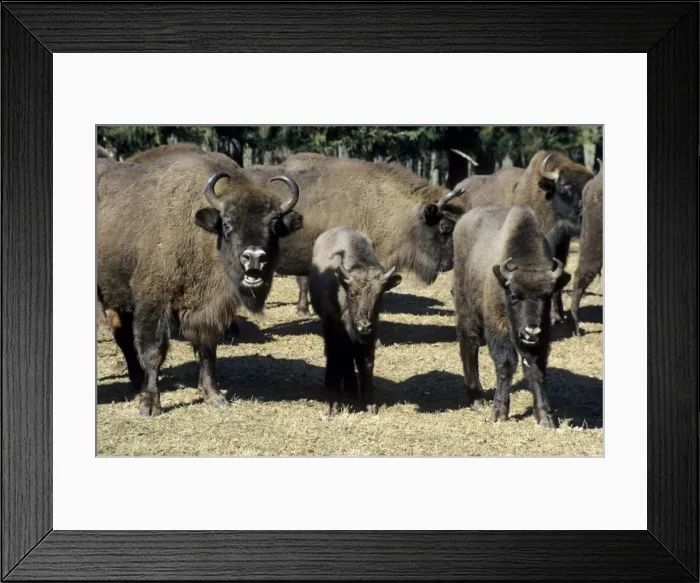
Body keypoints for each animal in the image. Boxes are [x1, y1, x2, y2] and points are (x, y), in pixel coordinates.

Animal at [97, 156, 303, 416]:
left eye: (274, 225)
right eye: (227, 223)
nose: (254, 257)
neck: (200, 235)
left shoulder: (206, 310)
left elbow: (207, 351)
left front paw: (214, 396)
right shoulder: (153, 301)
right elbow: (154, 351)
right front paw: (150, 405)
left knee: (123, 336)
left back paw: (136, 383)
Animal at [309, 227, 401, 417]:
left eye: (379, 296)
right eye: (352, 293)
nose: (363, 325)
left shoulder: (370, 336)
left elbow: (366, 364)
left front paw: (369, 404)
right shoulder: (334, 330)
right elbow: (335, 360)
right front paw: (332, 405)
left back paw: (351, 388)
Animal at [452, 205, 571, 427]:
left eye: (547, 296)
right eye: (514, 295)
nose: (531, 332)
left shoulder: (541, 336)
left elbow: (535, 369)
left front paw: (545, 417)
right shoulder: (498, 328)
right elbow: (505, 364)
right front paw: (498, 413)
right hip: (466, 309)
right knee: (468, 344)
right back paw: (476, 399)